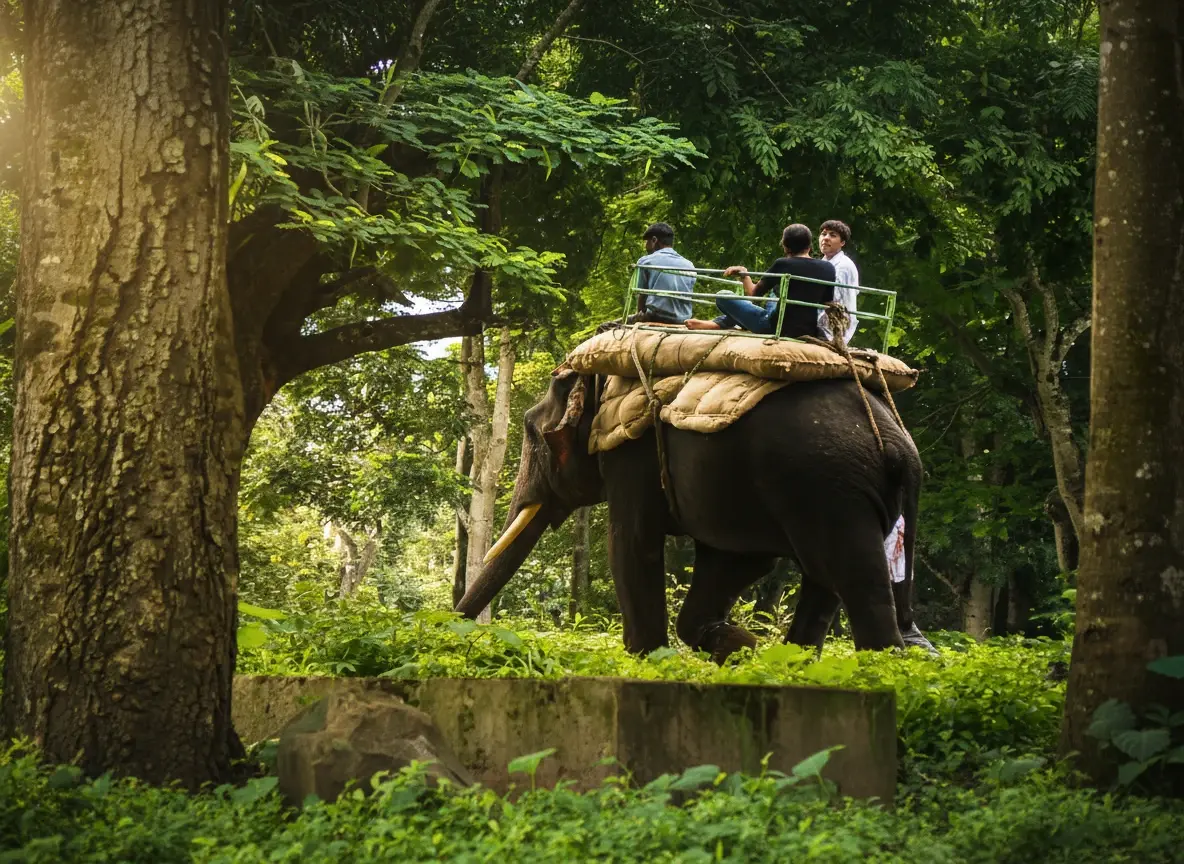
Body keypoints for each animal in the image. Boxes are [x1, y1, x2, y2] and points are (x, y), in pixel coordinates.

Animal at [456, 366, 924, 661]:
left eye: (532, 432)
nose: (448, 628)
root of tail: (900, 446)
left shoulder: (632, 454)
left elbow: (631, 545)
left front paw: (650, 661)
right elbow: (737, 560)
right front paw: (743, 648)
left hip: (828, 487)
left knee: (856, 581)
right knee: (826, 581)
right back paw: (796, 665)